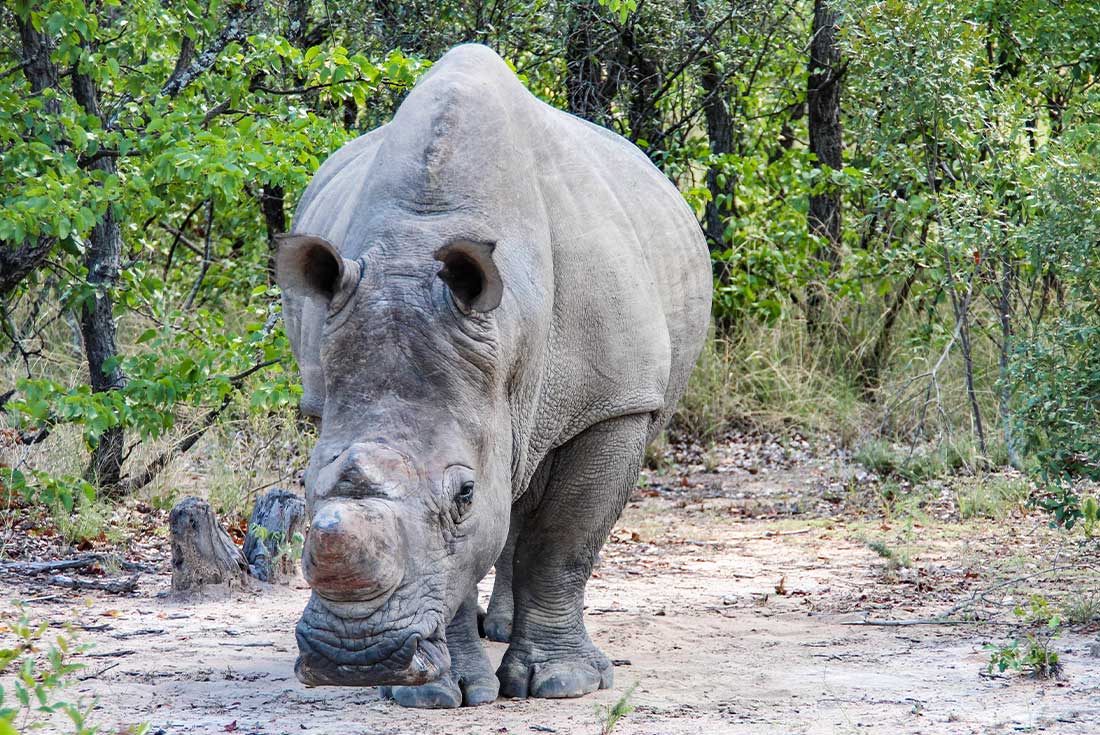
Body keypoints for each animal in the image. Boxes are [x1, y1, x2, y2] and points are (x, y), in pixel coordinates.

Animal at [275, 44, 711, 708]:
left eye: (464, 494)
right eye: (302, 483)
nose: (355, 658)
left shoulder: (615, 403)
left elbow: (562, 541)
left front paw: (564, 683)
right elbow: (461, 556)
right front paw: (439, 693)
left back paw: (510, 634)